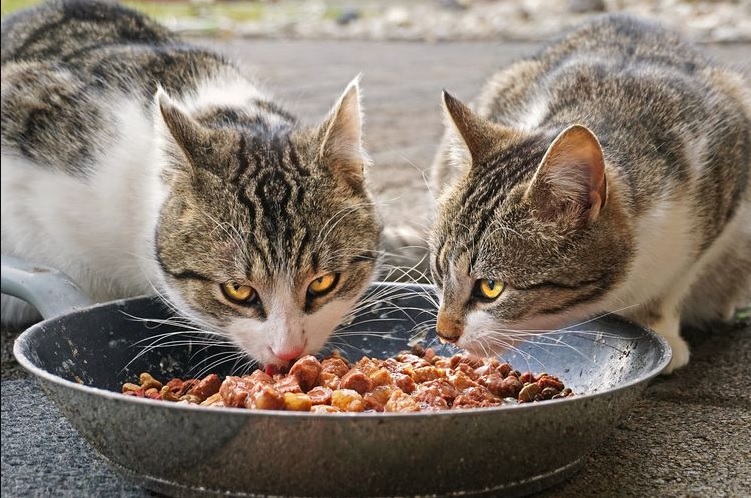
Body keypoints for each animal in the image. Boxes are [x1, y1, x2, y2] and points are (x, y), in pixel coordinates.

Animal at [428, 13, 751, 374]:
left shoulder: (724, 181)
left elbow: (674, 283)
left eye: (490, 287)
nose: (444, 333)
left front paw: (661, 328)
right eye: (439, 271)